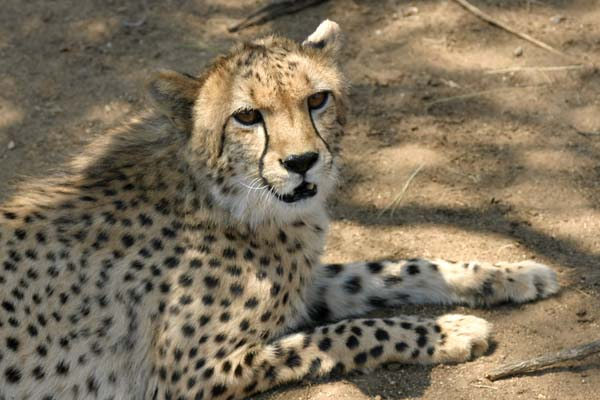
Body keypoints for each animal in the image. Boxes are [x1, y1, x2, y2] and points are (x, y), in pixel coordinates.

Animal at [2, 21, 560, 400]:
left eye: (317, 100)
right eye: (247, 116)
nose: (301, 162)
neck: (223, 197)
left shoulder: (304, 282)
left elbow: (395, 268)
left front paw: (511, 275)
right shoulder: (188, 375)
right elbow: (348, 333)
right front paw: (450, 331)